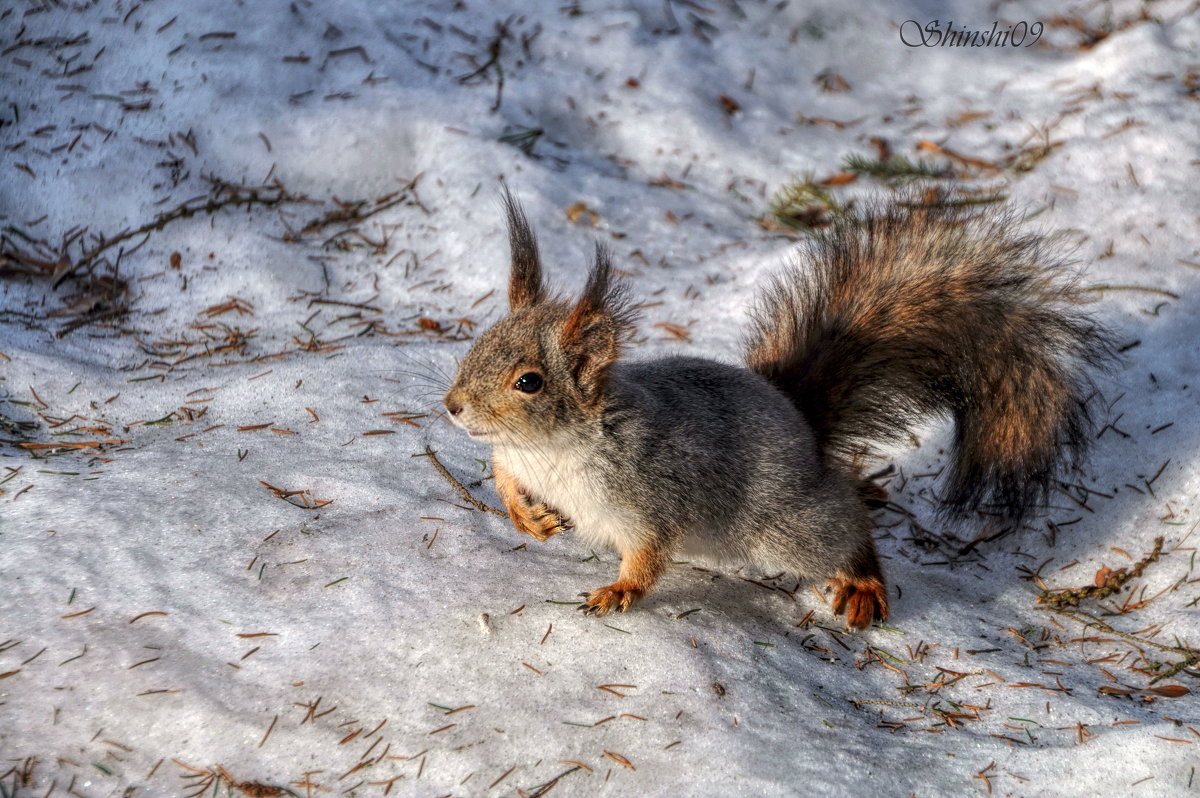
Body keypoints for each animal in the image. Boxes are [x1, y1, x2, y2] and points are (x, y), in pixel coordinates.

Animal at [441, 192, 1113, 628]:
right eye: (477, 341)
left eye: (528, 381)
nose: (452, 407)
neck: (553, 449)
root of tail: (804, 424)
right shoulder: (514, 460)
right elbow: (503, 478)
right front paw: (528, 518)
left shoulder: (654, 491)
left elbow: (649, 555)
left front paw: (620, 591)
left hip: (783, 526)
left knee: (847, 524)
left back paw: (863, 582)